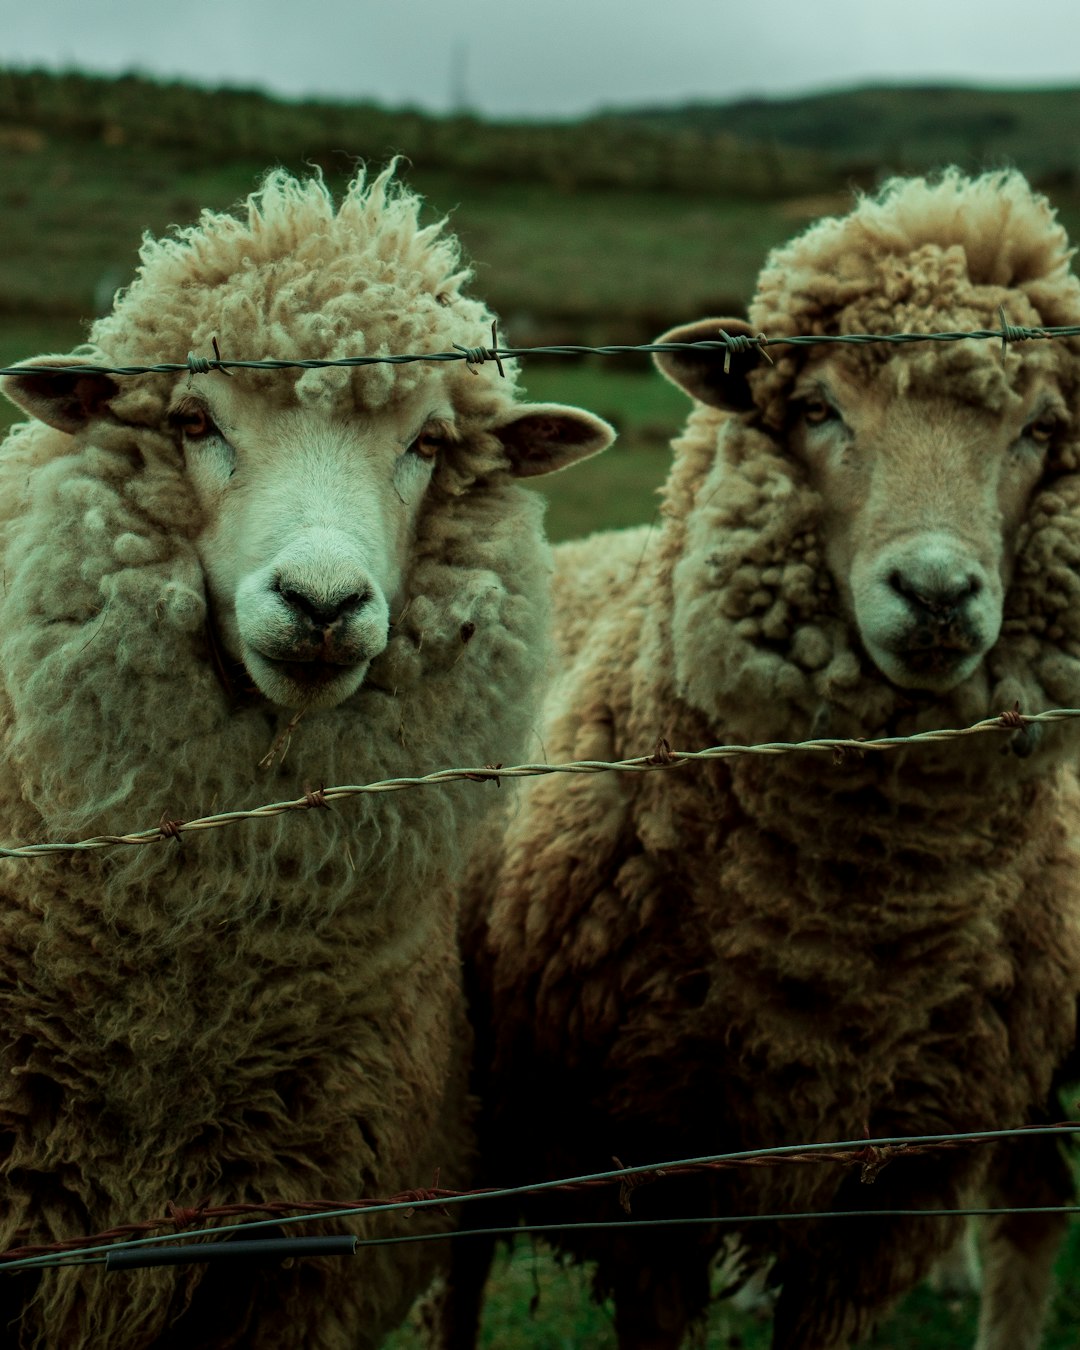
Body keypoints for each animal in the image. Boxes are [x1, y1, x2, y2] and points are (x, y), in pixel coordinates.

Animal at [448, 171, 1080, 1350]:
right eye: (819, 408)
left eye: (1041, 429)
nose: (936, 595)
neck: (847, 929)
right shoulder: (650, 1167)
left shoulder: (891, 1188)